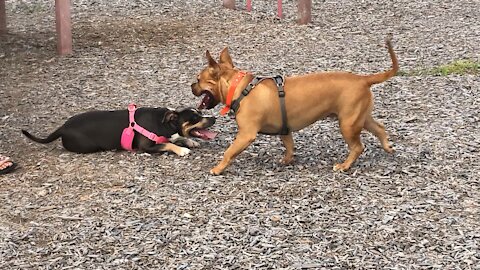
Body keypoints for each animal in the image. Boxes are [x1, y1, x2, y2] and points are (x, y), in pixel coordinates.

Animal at [22, 104, 217, 156]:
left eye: (200, 112)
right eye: (194, 119)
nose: (214, 118)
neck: (165, 124)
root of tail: (62, 127)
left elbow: (176, 138)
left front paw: (189, 141)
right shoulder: (147, 146)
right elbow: (168, 144)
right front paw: (182, 149)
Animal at [191, 39, 398, 176]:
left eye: (198, 80)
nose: (191, 86)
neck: (240, 87)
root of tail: (363, 79)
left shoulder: (246, 134)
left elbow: (229, 152)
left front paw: (218, 168)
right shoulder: (285, 129)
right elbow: (289, 145)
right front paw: (288, 159)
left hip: (347, 124)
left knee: (357, 147)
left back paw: (344, 166)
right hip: (360, 118)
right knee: (379, 128)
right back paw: (387, 146)